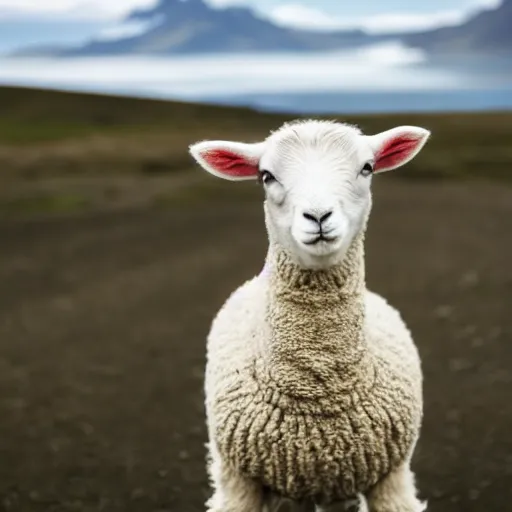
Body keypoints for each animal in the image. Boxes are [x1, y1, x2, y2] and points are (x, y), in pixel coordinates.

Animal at [190, 118, 430, 510]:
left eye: (367, 168)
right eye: (266, 176)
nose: (318, 217)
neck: (318, 389)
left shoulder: (391, 478)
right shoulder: (237, 480)